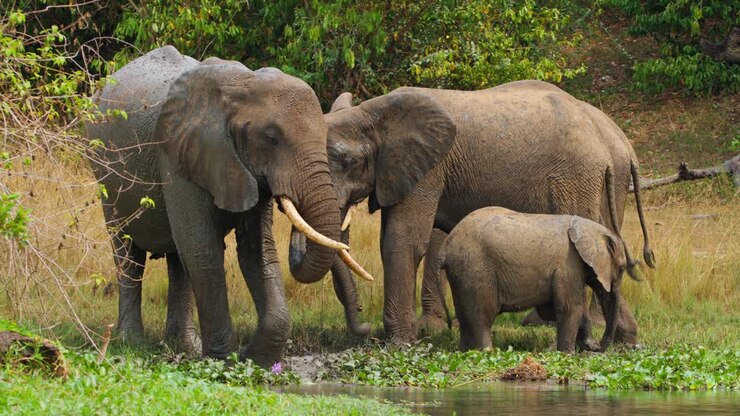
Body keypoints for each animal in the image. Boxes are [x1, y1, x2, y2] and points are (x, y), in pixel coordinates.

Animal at [85, 46, 367, 366]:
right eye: (271, 138)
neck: (243, 85)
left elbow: (257, 250)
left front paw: (252, 358)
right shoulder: (180, 154)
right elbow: (204, 250)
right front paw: (223, 359)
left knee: (178, 258)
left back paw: (185, 346)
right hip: (105, 173)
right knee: (128, 252)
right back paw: (132, 341)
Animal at [440, 207, 630, 353]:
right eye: (621, 268)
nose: (598, 347)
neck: (587, 227)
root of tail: (447, 245)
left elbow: (551, 309)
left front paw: (585, 346)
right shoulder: (568, 265)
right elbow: (570, 308)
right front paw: (568, 354)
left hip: (462, 273)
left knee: (465, 317)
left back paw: (465, 353)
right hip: (476, 269)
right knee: (482, 316)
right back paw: (487, 353)